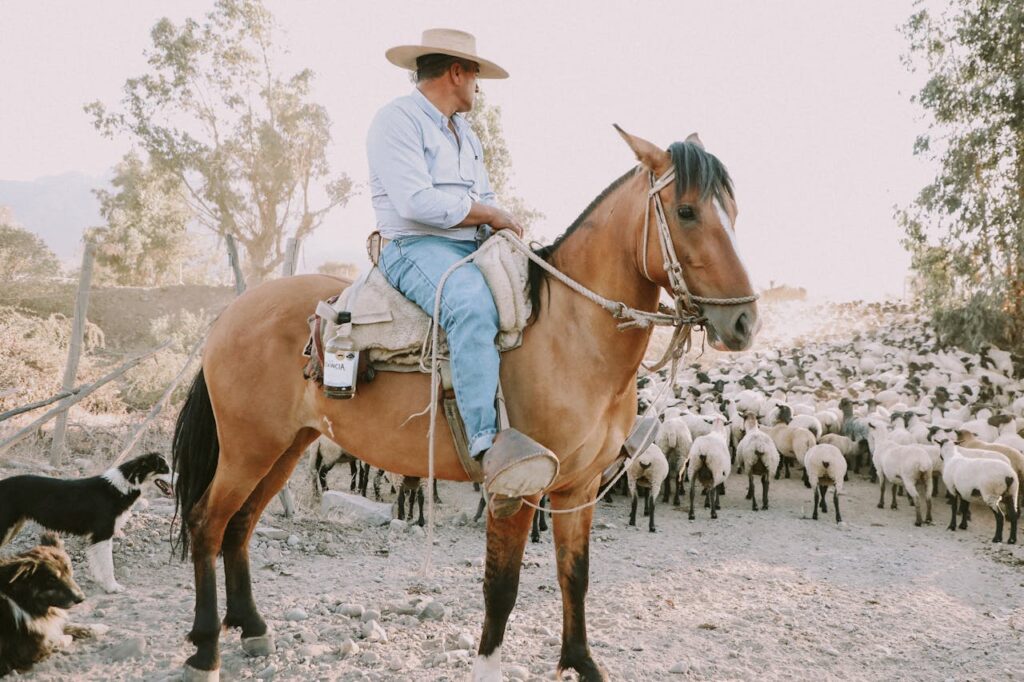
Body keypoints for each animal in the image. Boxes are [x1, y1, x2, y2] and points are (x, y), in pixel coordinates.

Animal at [0, 450, 169, 589]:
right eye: (165, 469)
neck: (120, 488)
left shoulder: (97, 538)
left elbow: (97, 563)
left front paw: (102, 583)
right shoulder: (103, 535)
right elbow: (108, 565)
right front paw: (112, 587)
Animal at [0, 532, 86, 675]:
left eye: (69, 571)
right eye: (51, 579)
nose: (82, 598)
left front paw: (98, 628)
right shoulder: (29, 652)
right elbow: (56, 639)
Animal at [172, 125, 757, 675]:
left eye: (733, 211)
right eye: (686, 211)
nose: (745, 321)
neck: (570, 333)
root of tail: (231, 313)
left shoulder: (578, 487)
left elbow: (575, 576)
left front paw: (580, 662)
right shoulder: (517, 490)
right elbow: (502, 587)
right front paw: (489, 666)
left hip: (285, 446)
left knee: (239, 526)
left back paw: (251, 628)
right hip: (248, 448)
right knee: (207, 523)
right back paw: (205, 650)